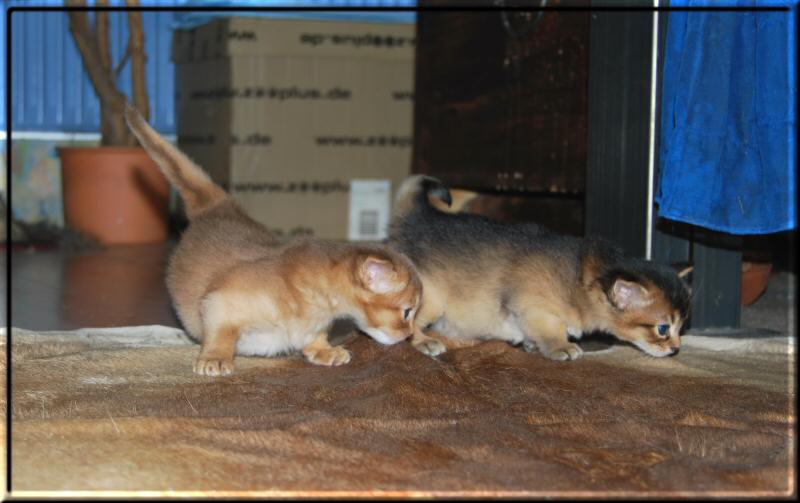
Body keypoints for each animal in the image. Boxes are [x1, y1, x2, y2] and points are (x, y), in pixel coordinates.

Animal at [125, 105, 422, 374]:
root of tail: (220, 205)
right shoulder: (218, 302)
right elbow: (221, 332)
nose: (408, 336)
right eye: (407, 312)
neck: (313, 298)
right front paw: (215, 357)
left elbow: (314, 338)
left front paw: (324, 350)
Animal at [386, 175, 688, 360]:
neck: (579, 277)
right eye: (663, 329)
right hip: (432, 298)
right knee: (409, 323)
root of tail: (414, 219)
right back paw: (425, 341)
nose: (676, 349)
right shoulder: (535, 307)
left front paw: (532, 345)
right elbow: (550, 330)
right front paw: (560, 347)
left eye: (681, 327)